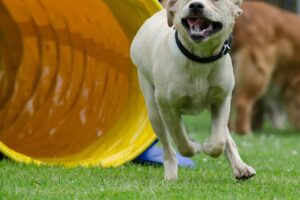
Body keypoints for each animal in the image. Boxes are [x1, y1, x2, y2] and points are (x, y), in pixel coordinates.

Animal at [130, 0, 254, 180]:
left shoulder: (222, 100)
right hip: (153, 110)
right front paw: (194, 147)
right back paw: (171, 175)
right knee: (168, 149)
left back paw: (241, 167)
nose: (195, 5)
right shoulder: (168, 107)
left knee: (226, 137)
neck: (200, 59)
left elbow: (219, 140)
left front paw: (208, 146)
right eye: (186, 1)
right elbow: (180, 139)